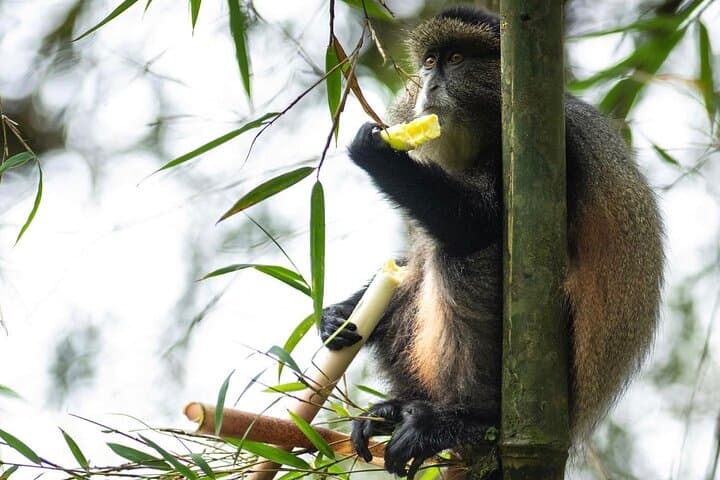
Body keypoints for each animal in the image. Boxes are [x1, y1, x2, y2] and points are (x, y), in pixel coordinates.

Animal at [319, 6, 664, 479]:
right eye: (429, 62)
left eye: (457, 59)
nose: (430, 85)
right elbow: (409, 262)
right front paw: (339, 315)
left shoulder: (538, 151)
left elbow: (479, 225)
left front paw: (377, 151)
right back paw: (400, 409)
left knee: (457, 257)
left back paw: (466, 419)